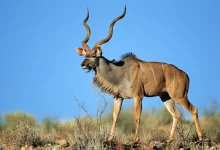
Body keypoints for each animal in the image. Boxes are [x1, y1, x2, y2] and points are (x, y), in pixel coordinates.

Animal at [75, 5, 203, 144]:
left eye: (93, 55)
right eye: (85, 55)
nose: (82, 64)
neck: (119, 71)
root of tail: (185, 74)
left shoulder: (138, 96)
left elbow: (136, 116)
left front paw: (135, 139)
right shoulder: (118, 97)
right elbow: (115, 117)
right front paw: (109, 138)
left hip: (179, 96)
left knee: (193, 110)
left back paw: (200, 137)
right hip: (165, 97)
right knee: (176, 114)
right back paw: (169, 140)